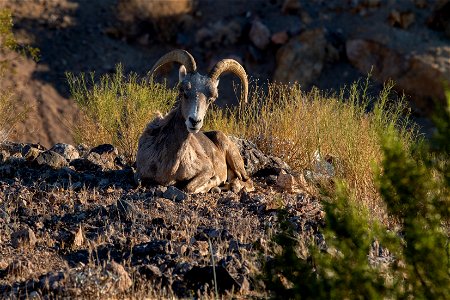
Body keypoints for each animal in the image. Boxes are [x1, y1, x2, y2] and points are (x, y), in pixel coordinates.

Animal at [134, 49, 253, 192]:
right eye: (183, 92)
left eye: (210, 99)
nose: (194, 121)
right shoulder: (139, 175)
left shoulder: (207, 169)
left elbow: (189, 187)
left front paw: (213, 182)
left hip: (236, 162)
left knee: (247, 181)